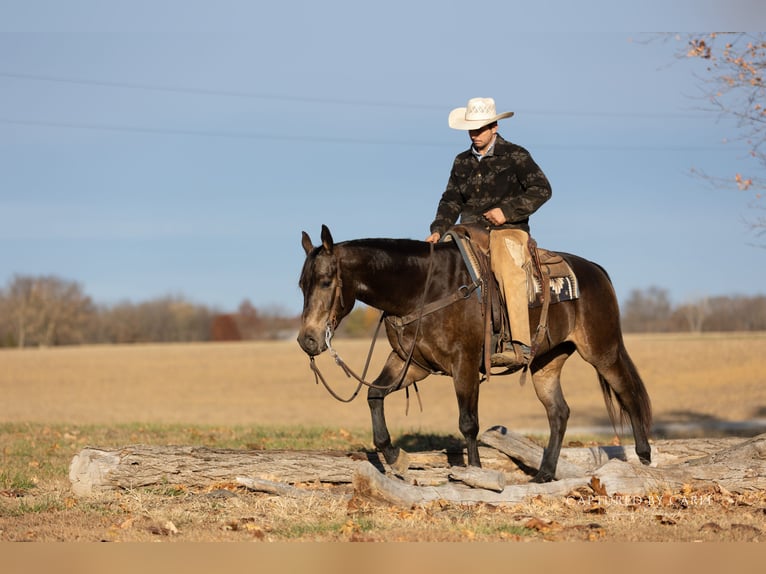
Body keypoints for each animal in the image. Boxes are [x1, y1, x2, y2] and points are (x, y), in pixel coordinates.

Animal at [297, 224, 652, 482]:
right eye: (302, 284)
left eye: (326, 281)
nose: (308, 340)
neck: (424, 289)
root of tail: (594, 269)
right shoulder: (411, 363)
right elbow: (374, 394)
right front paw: (396, 457)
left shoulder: (464, 363)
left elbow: (468, 422)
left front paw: (476, 473)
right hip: (546, 362)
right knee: (559, 412)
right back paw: (544, 474)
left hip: (602, 350)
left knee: (627, 391)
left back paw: (645, 455)